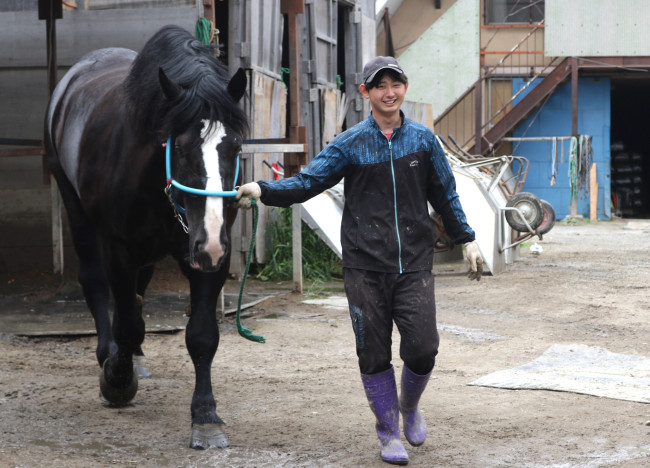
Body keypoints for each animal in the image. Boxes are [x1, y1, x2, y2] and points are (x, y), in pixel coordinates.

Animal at [43, 25, 248, 450]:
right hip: (77, 212)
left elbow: (202, 335)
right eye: (181, 147)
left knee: (138, 291)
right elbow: (127, 321)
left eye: (234, 146)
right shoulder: (119, 249)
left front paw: (206, 417)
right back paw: (110, 355)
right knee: (97, 285)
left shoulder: (207, 258)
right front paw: (116, 381)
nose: (211, 242)